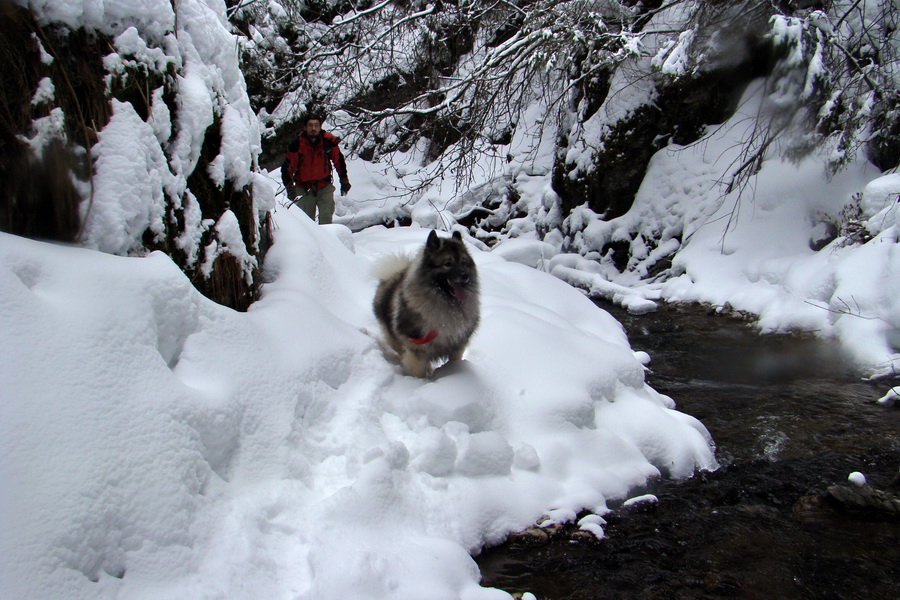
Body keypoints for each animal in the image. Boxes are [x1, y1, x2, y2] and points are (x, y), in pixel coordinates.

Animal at [370, 230, 478, 376]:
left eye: (464, 262)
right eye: (447, 263)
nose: (465, 276)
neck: (447, 303)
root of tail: (392, 275)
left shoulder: (458, 346)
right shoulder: (416, 350)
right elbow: (416, 371)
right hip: (394, 338)